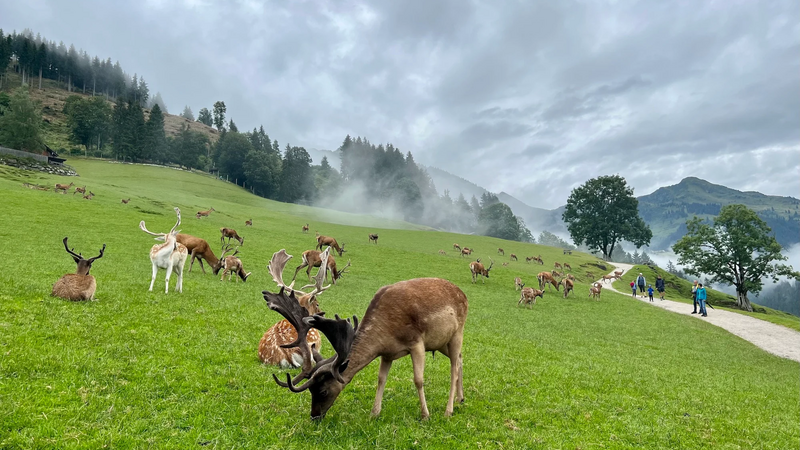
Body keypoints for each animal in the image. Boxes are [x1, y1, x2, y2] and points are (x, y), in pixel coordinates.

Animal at [266, 262, 468, 420]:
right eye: (310, 391)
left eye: (322, 391)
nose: (314, 416)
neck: (387, 331)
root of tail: (463, 294)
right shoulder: (388, 353)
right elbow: (381, 379)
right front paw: (374, 413)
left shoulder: (416, 342)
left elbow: (418, 379)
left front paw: (425, 415)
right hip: (441, 343)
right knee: (460, 359)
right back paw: (461, 399)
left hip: (458, 332)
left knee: (453, 367)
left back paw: (448, 410)